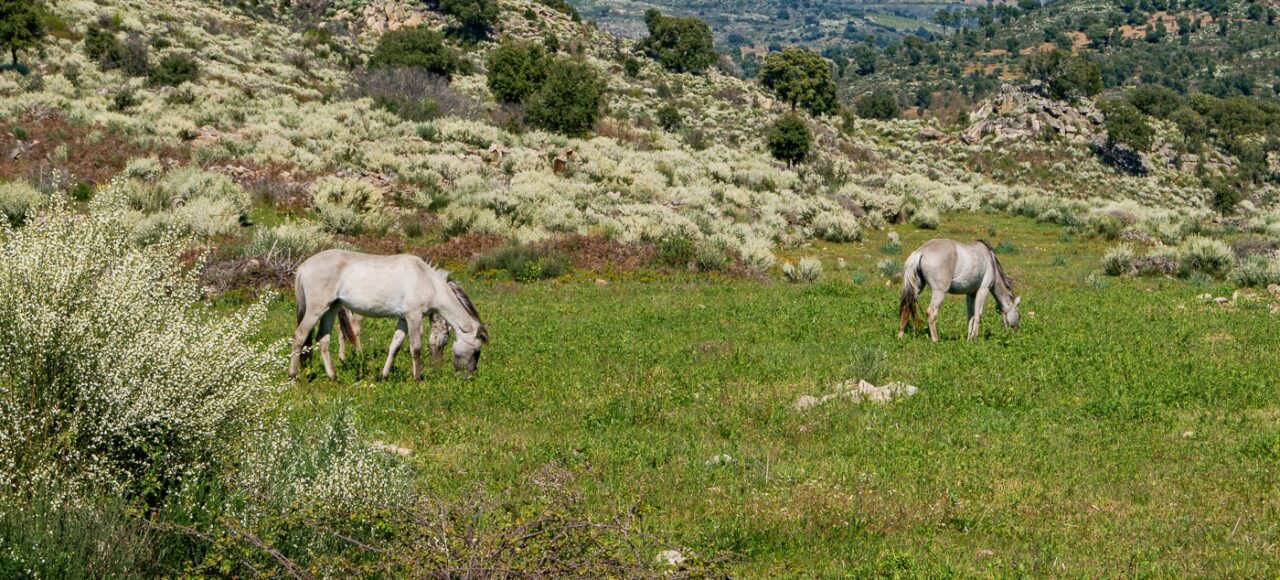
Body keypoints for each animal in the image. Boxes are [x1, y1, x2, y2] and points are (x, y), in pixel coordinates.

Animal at [290, 249, 489, 380]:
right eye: (476, 351)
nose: (469, 377)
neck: (427, 280)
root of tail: (303, 266)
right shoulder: (414, 316)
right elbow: (415, 348)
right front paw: (418, 378)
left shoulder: (403, 319)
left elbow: (395, 346)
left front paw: (385, 375)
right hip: (316, 310)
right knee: (299, 336)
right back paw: (293, 376)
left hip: (331, 309)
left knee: (323, 340)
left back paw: (333, 377)